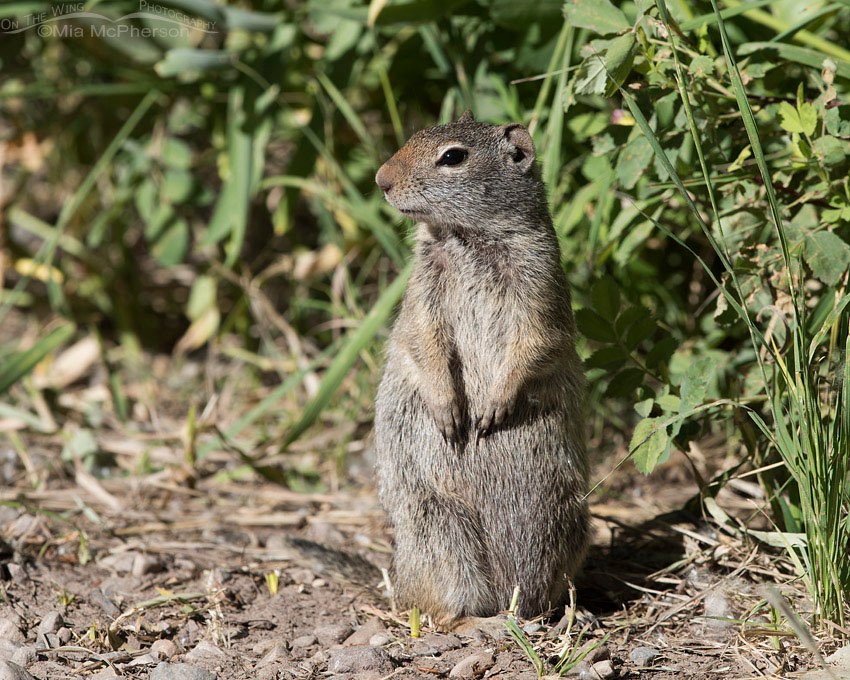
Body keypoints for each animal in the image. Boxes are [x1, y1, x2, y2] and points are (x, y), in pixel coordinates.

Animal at [373, 111, 589, 624]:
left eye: (453, 157)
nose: (380, 180)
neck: (465, 238)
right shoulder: (421, 295)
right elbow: (424, 339)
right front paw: (451, 411)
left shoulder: (539, 285)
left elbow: (534, 342)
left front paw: (493, 407)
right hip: (439, 532)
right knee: (441, 610)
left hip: (570, 521)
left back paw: (562, 614)